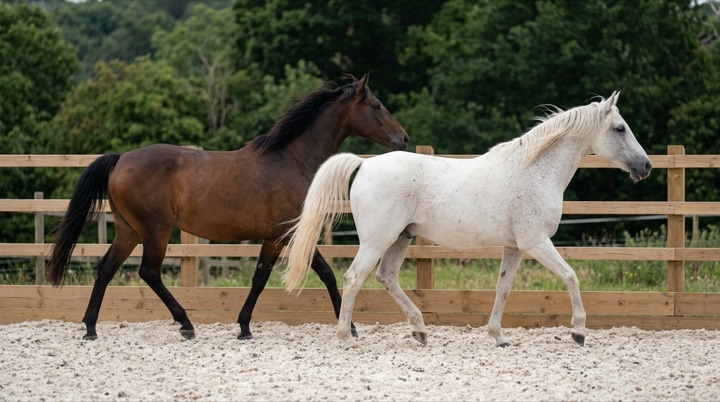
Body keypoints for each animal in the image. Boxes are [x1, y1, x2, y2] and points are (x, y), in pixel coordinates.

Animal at [47, 74, 409, 341]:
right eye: (376, 105)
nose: (404, 139)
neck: (290, 160)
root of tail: (120, 160)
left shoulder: (276, 236)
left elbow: (269, 276)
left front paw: (245, 326)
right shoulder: (285, 232)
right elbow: (314, 275)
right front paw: (350, 327)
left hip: (129, 230)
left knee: (106, 268)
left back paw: (90, 328)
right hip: (155, 231)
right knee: (149, 272)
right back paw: (186, 325)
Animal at [283, 91, 652, 348]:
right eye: (620, 128)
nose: (645, 166)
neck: (534, 171)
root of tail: (365, 163)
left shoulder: (515, 247)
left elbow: (503, 288)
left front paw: (498, 336)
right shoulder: (536, 242)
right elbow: (571, 276)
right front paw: (578, 332)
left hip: (401, 238)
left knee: (386, 278)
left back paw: (420, 331)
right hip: (377, 240)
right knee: (354, 277)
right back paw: (347, 337)